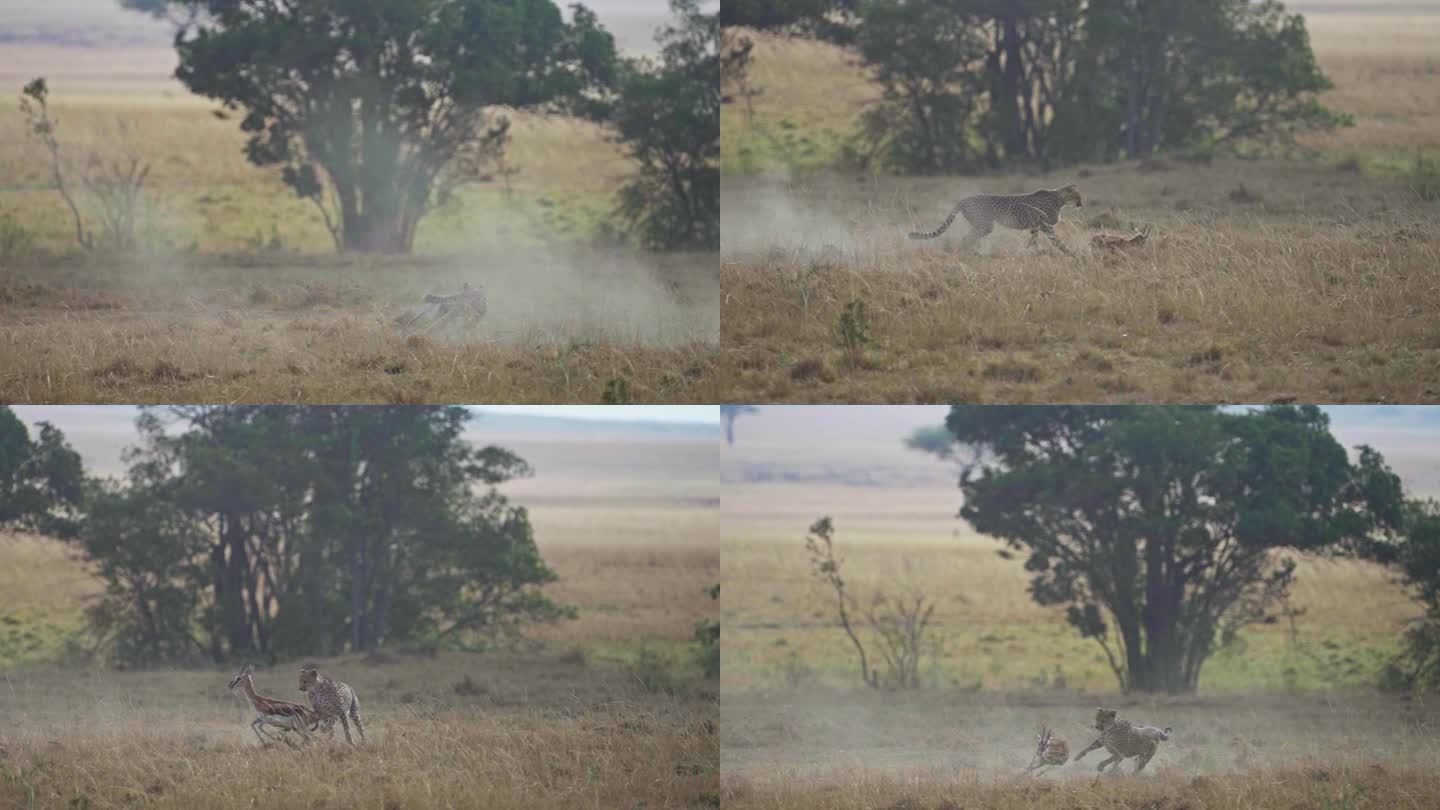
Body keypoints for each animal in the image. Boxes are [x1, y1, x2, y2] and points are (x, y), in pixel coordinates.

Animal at [910, 185, 1082, 252]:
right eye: (1077, 197)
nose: (1081, 204)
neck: (1059, 199)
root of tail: (964, 199)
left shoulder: (1036, 225)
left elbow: (1034, 240)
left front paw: (1033, 251)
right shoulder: (1045, 225)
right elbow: (1058, 242)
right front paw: (1069, 253)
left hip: (982, 225)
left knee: (968, 238)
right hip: (985, 225)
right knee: (968, 238)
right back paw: (974, 253)